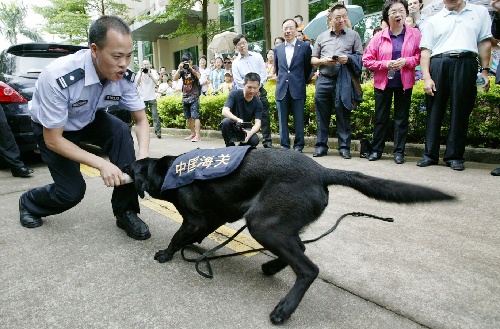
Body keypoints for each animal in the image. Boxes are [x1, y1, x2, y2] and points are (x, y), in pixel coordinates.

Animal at [124, 148, 454, 322]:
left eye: (131, 167)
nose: (122, 164)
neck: (167, 171)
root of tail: (322, 171)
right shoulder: (212, 218)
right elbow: (193, 235)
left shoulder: (196, 219)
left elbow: (178, 236)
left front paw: (166, 254)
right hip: (278, 224)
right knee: (300, 251)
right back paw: (271, 267)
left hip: (262, 224)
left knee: (308, 268)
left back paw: (284, 308)